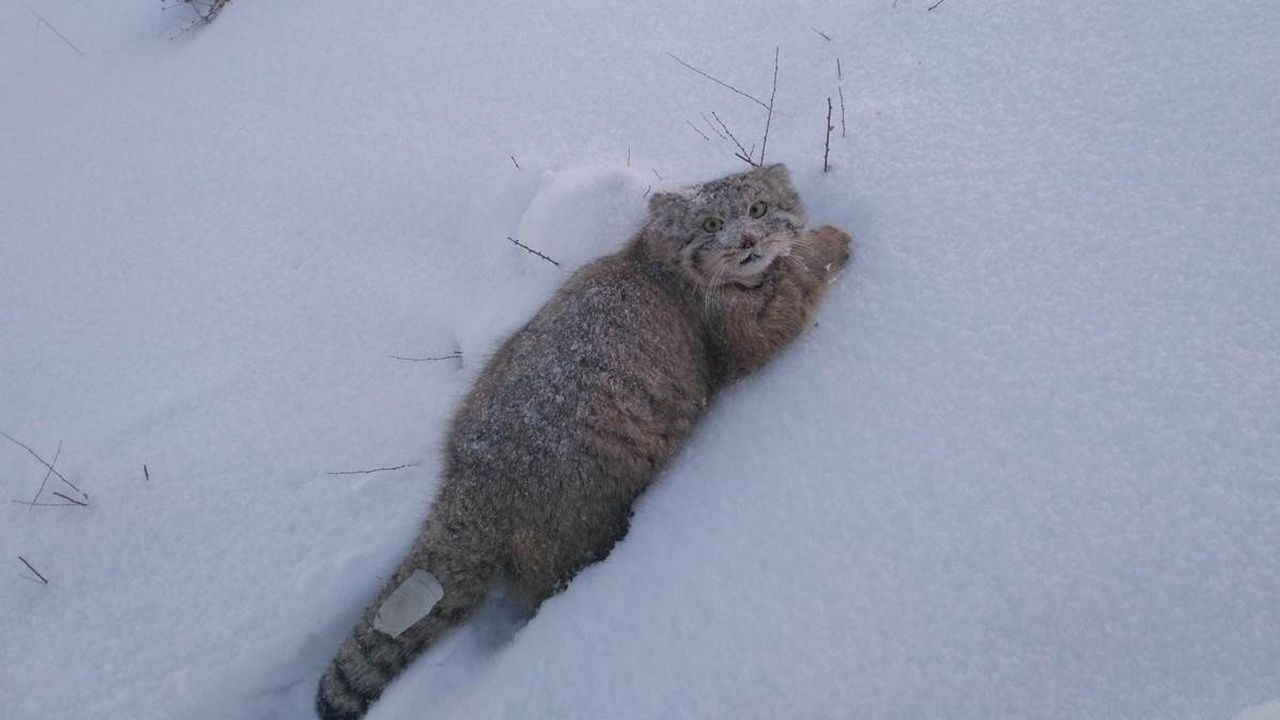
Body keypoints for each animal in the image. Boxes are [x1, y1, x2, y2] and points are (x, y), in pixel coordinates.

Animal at [312, 163, 849, 717]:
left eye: (758, 209)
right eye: (711, 224)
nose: (747, 240)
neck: (657, 262)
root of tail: (470, 484)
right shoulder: (747, 332)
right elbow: (796, 277)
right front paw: (831, 240)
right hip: (571, 535)